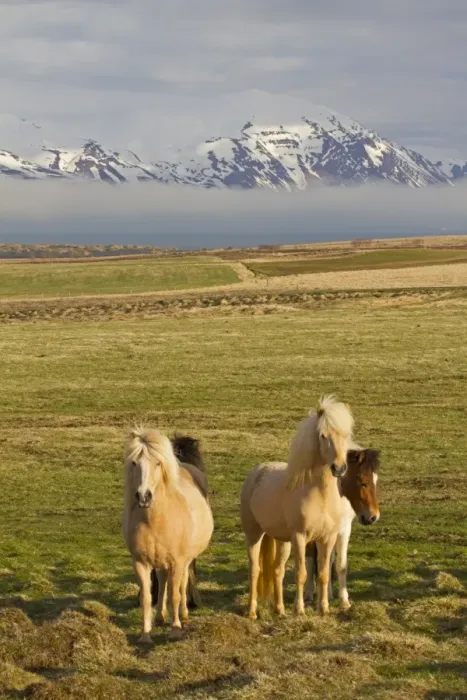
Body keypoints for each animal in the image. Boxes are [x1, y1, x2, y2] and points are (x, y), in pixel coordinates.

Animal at [240, 395, 354, 619]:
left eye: (345, 435)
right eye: (323, 436)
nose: (339, 468)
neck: (319, 495)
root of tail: (256, 472)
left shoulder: (327, 538)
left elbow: (324, 573)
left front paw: (323, 609)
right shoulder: (301, 538)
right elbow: (302, 573)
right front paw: (299, 610)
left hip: (282, 540)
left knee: (277, 570)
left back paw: (280, 610)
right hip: (254, 534)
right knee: (255, 570)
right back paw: (252, 612)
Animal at [304, 445, 380, 610]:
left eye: (376, 481)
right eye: (363, 482)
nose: (373, 517)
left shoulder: (344, 531)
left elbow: (339, 565)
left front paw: (344, 600)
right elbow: (318, 563)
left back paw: (329, 593)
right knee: (310, 561)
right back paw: (308, 594)